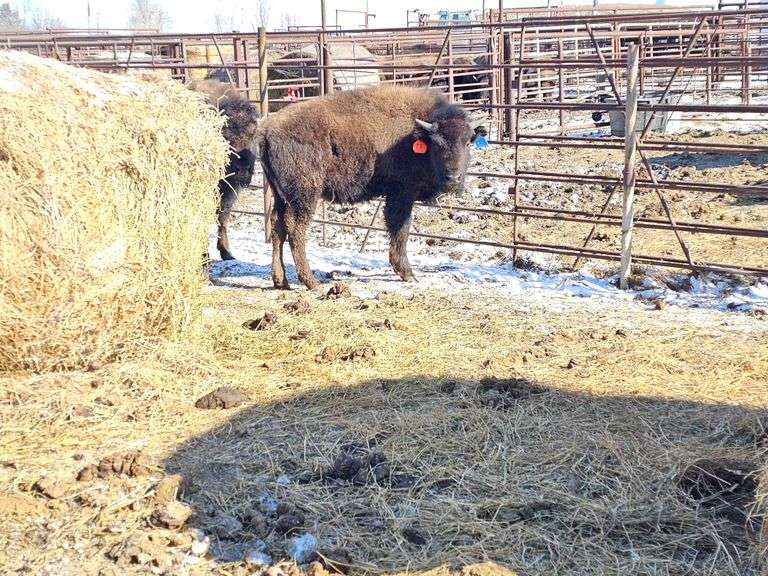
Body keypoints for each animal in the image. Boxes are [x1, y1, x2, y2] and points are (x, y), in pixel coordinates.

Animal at [257, 85, 484, 290]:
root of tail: (267, 130)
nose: (453, 178)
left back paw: (281, 281)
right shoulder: (401, 194)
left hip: (280, 195)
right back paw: (312, 282)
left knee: (277, 228)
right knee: (295, 230)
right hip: (305, 197)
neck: (416, 137)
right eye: (437, 145)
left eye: (467, 142)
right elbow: (400, 229)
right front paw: (408, 274)